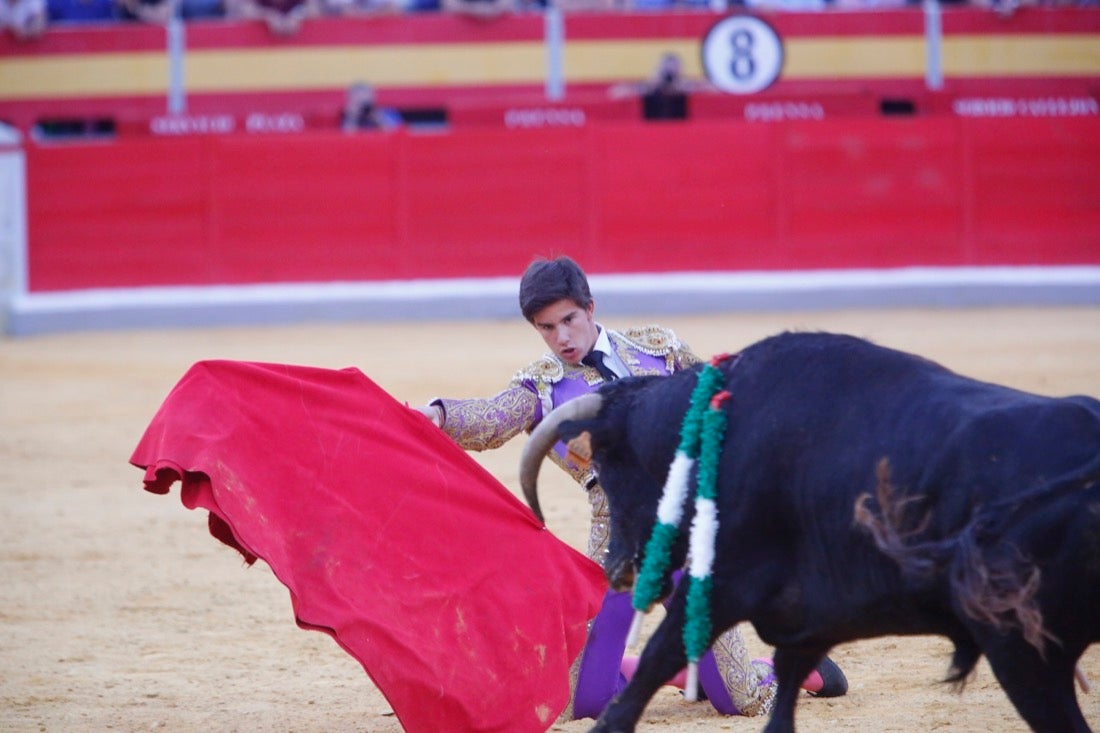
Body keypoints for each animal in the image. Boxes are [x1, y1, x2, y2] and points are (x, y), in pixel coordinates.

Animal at [517, 330, 1100, 730]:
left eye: (610, 465)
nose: (618, 569)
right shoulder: (803, 620)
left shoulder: (727, 583)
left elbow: (648, 671)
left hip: (1021, 648)